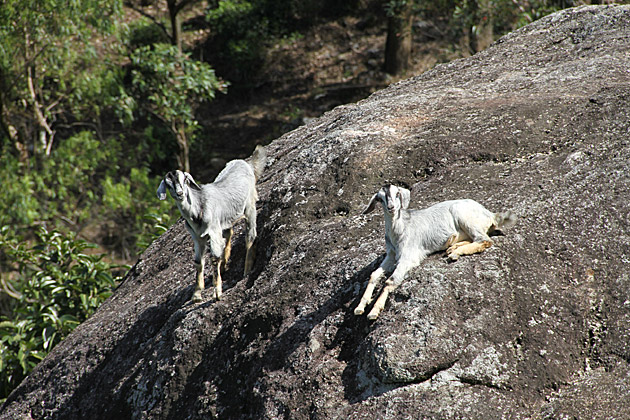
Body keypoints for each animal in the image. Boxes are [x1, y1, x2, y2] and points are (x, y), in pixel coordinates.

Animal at [159, 145, 268, 302]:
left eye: (184, 179)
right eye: (168, 185)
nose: (180, 194)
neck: (198, 208)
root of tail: (245, 163)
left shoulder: (213, 230)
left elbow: (214, 258)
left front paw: (217, 293)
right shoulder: (197, 237)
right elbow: (198, 262)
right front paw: (197, 294)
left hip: (250, 206)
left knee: (250, 236)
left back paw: (246, 270)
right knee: (229, 233)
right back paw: (225, 261)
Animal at [356, 185, 520, 320]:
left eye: (397, 194)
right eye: (380, 198)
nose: (391, 207)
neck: (400, 229)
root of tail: (490, 214)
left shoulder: (409, 255)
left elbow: (390, 281)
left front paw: (373, 311)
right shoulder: (391, 255)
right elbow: (374, 275)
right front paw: (360, 307)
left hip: (464, 216)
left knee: (484, 240)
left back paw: (455, 253)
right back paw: (453, 247)